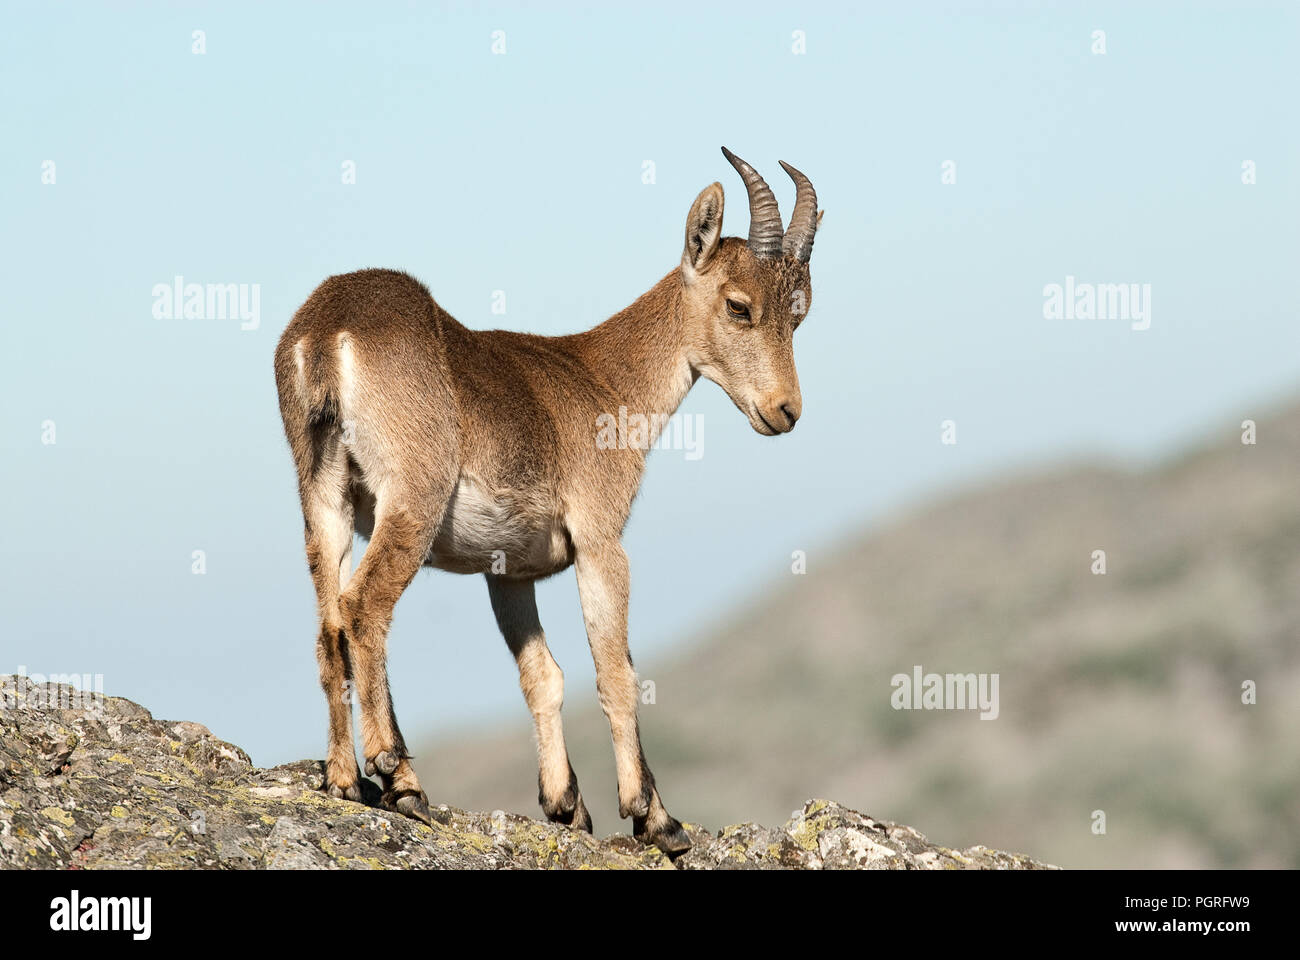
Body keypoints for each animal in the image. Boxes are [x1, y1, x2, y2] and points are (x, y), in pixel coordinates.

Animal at [272, 148, 821, 854]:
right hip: (412, 497)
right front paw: (654, 817)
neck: (604, 382)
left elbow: (543, 676)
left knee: (329, 625)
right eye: (739, 305)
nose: (786, 411)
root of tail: (326, 334)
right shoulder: (600, 542)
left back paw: (344, 779)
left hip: (323, 496)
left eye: (800, 313)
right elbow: (616, 673)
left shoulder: (508, 572)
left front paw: (566, 805)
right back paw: (398, 776)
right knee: (364, 608)